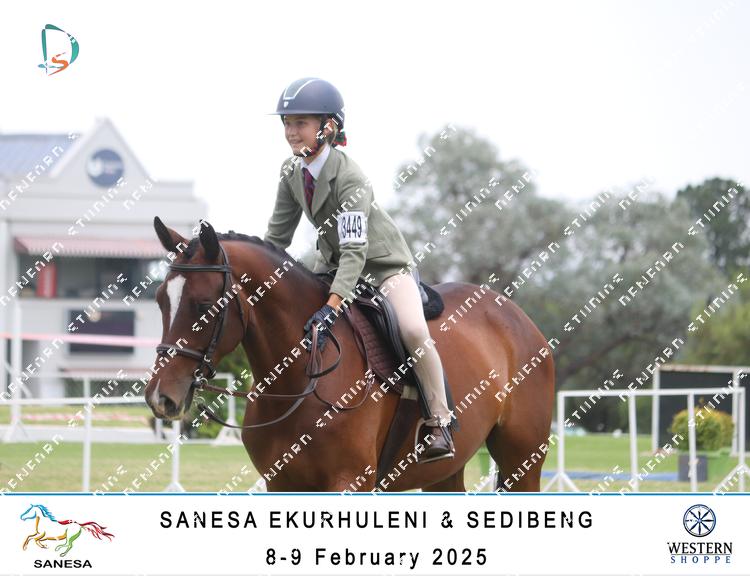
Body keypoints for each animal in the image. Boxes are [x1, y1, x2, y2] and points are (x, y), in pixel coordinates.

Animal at [145, 217, 555, 492]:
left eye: (204, 306)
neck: (295, 380)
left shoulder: (349, 482)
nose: (159, 397)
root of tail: (516, 314)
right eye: (160, 300)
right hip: (446, 474)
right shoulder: (282, 484)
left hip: (522, 461)